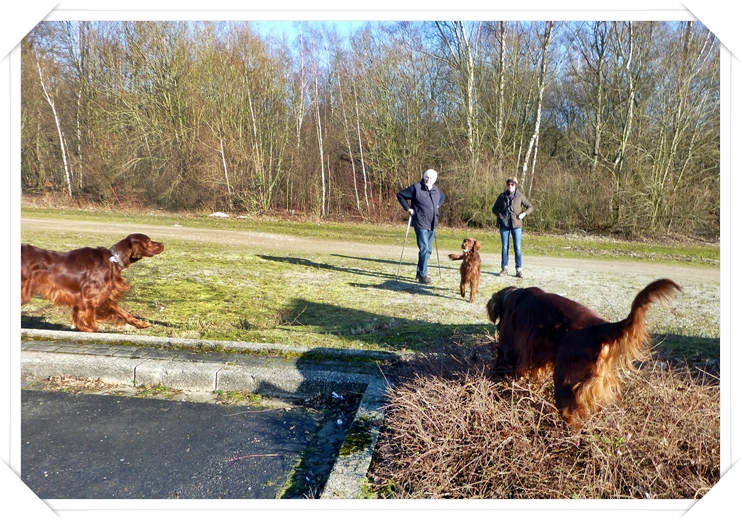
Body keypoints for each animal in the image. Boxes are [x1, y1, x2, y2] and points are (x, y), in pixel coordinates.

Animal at [21, 234, 165, 333]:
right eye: (149, 241)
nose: (163, 244)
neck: (114, 259)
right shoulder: (88, 301)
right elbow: (91, 324)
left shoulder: (104, 297)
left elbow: (123, 312)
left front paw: (141, 323)